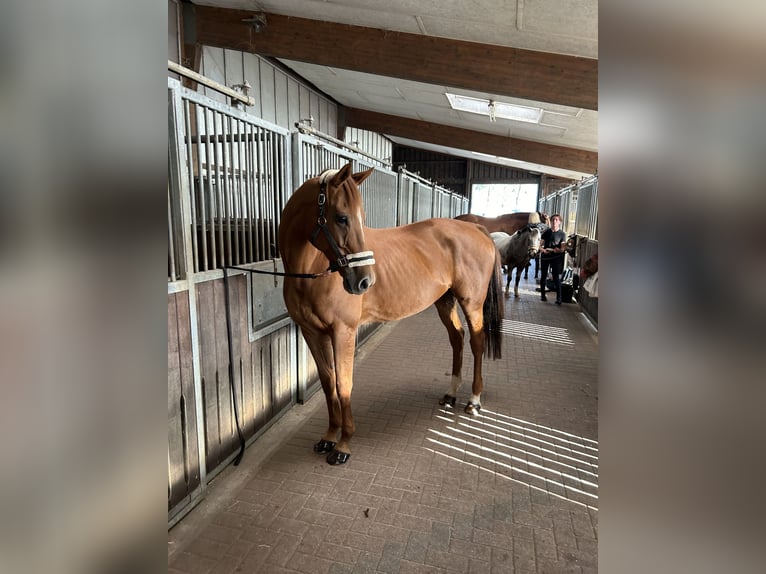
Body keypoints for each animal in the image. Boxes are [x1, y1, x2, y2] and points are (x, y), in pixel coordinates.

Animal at [280, 163, 508, 468]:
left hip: (472, 303)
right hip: (444, 302)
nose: (364, 282)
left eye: (360, 218)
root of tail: (477, 228)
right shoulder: (312, 333)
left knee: (477, 342)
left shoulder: (343, 332)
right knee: (457, 339)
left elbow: (344, 384)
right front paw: (328, 436)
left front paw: (343, 444)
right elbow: (328, 383)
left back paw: (473, 400)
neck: (312, 270)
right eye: (341, 218)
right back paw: (450, 394)